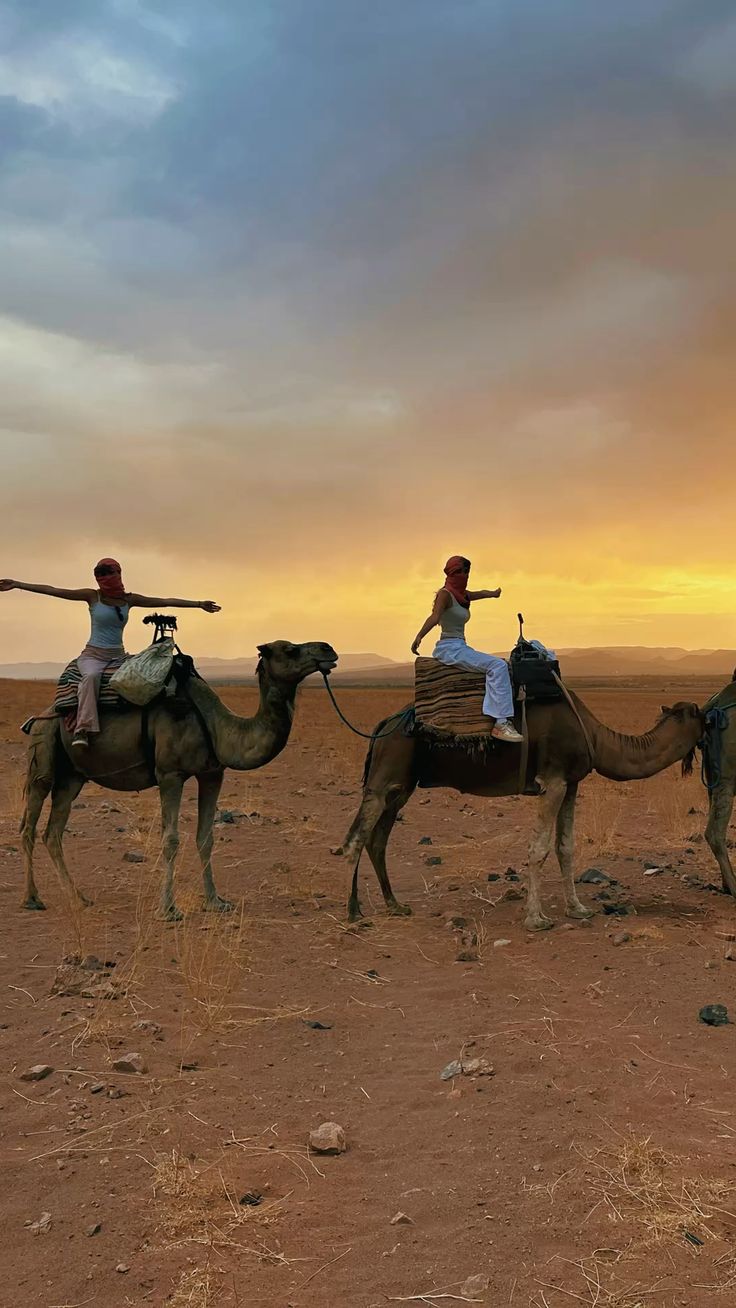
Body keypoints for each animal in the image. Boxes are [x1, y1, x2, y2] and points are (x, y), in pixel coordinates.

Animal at [20, 640, 337, 919]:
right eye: (290, 649)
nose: (328, 649)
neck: (216, 726)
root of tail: (41, 716)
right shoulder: (170, 775)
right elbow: (171, 839)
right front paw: (168, 909)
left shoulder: (212, 774)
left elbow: (206, 837)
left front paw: (216, 902)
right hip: (44, 751)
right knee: (29, 824)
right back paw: (32, 899)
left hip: (72, 777)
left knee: (53, 833)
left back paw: (79, 898)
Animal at [341, 687, 703, 931]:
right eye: (701, 714)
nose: (712, 717)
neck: (597, 738)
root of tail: (384, 723)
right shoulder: (553, 780)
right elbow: (538, 848)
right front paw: (535, 918)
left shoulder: (571, 783)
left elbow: (565, 847)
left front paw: (578, 908)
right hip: (387, 772)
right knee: (357, 836)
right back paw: (354, 911)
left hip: (402, 785)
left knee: (377, 839)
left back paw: (395, 905)